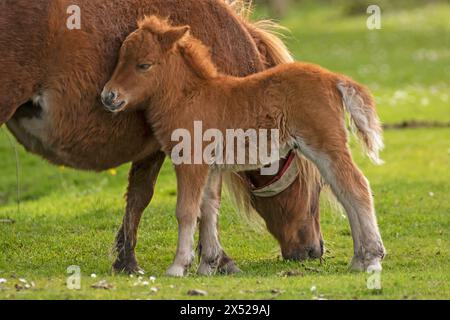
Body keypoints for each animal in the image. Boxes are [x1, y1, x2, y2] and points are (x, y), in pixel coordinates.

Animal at [0, 1, 324, 274]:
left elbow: (153, 198)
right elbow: (172, 201)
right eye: (319, 186)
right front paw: (214, 259)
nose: (316, 250)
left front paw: (127, 260)